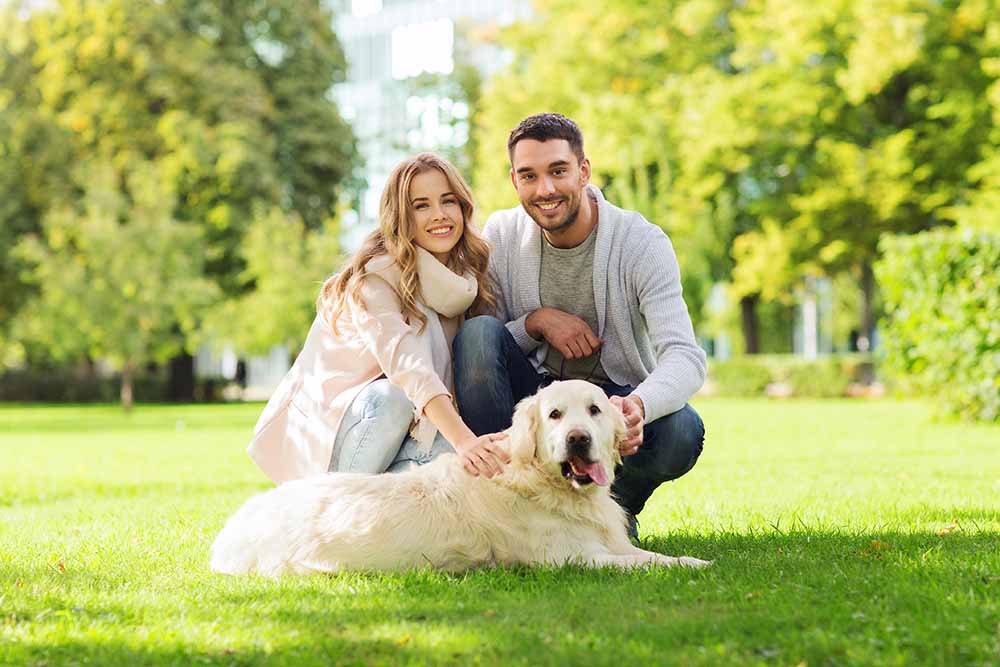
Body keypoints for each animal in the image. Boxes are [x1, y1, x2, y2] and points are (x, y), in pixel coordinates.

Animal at [211, 380, 712, 576]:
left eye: (594, 410)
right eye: (554, 414)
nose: (577, 439)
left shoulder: (610, 544)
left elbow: (651, 554)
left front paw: (694, 560)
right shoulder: (574, 559)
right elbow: (646, 563)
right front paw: (697, 566)